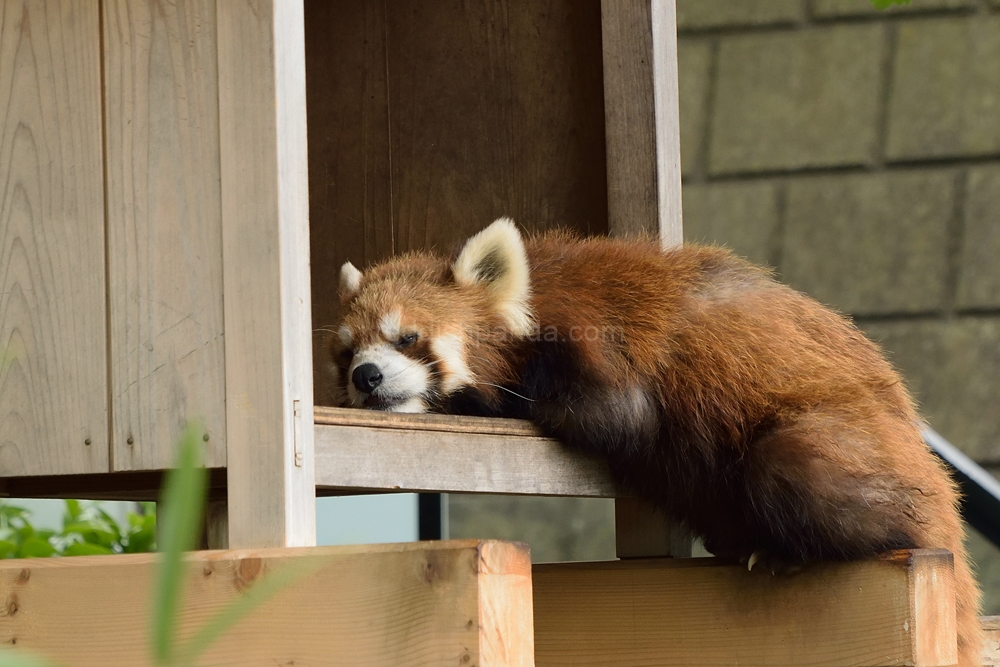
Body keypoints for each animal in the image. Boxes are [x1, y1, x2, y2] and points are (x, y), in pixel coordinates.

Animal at [330, 218, 984, 664]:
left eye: (408, 337)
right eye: (346, 352)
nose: (367, 377)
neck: (537, 295)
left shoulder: (598, 342)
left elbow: (618, 419)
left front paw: (474, 398)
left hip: (845, 444)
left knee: (799, 470)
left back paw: (790, 551)